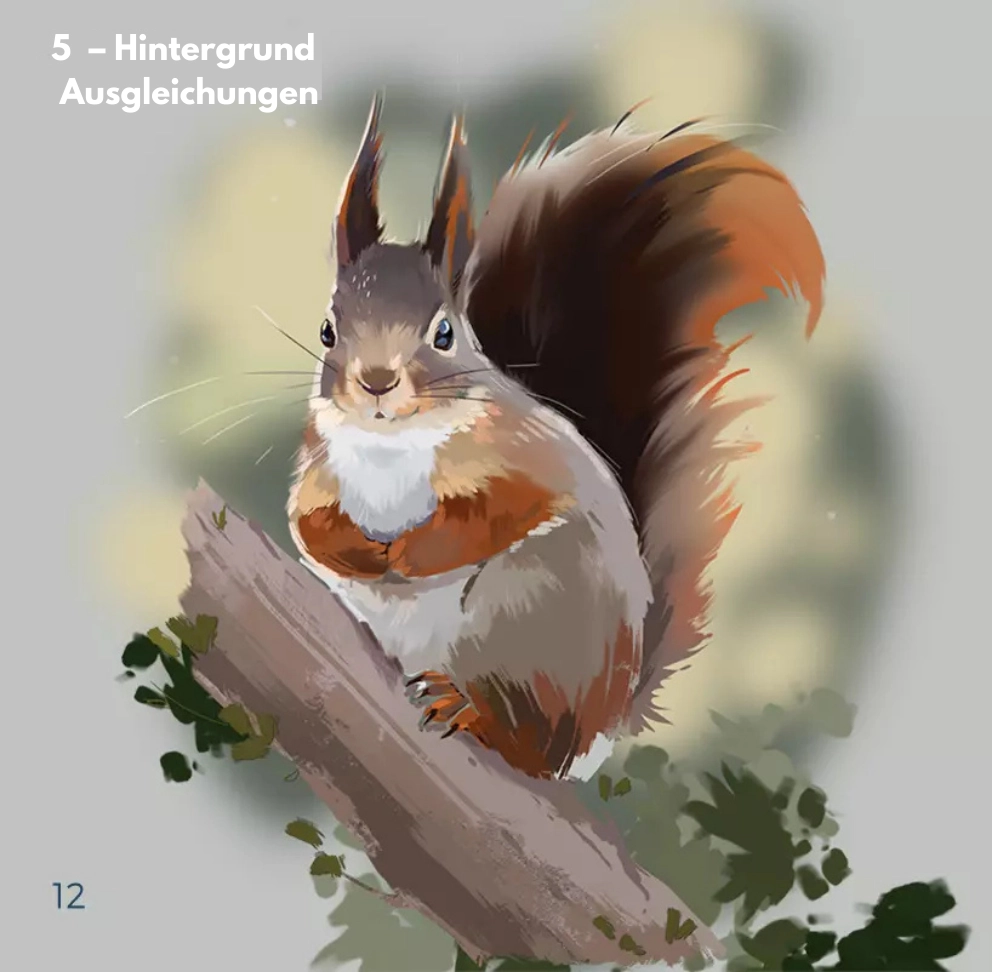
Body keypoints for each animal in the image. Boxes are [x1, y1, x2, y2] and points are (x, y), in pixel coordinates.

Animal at [288, 93, 824, 781]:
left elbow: (507, 508)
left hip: (527, 611)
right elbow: (306, 521)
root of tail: (602, 730)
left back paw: (470, 710)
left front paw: (412, 553)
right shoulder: (318, 462)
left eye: (444, 334)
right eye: (327, 330)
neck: (392, 445)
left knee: (534, 745)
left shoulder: (529, 454)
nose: (376, 383)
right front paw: (352, 549)